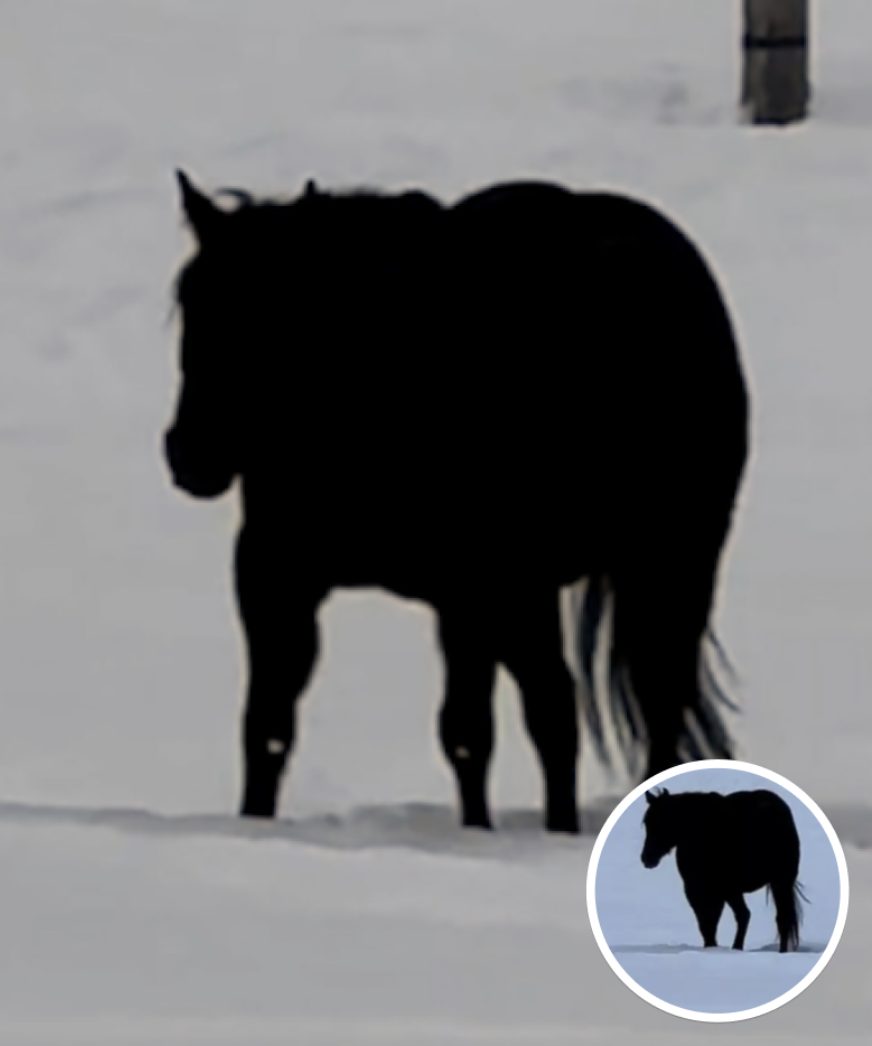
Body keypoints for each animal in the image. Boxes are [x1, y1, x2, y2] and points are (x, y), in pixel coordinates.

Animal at [164, 170, 749, 834]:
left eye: (273, 316)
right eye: (191, 301)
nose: (191, 453)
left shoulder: (475, 590)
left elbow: (472, 732)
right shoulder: (277, 576)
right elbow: (268, 726)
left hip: (662, 564)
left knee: (635, 704)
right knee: (569, 707)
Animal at [641, 788, 804, 952]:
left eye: (661, 821)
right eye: (646, 823)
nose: (646, 858)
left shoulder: (701, 890)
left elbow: (707, 923)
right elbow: (709, 924)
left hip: (758, 886)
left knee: (752, 916)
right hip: (774, 883)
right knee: (776, 918)